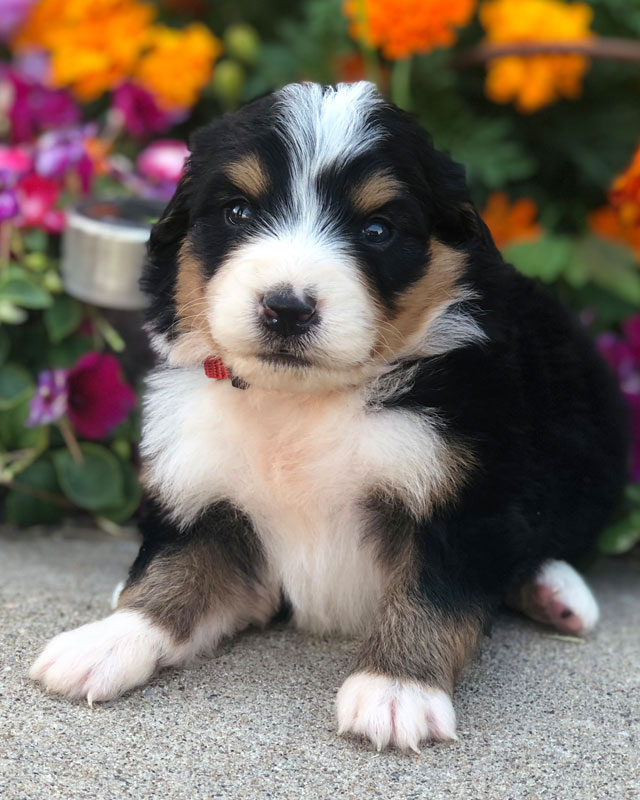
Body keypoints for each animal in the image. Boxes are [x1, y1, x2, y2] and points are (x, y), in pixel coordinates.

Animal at [30, 81, 624, 752]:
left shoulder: (465, 496)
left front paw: (397, 688)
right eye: (238, 213)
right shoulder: (213, 499)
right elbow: (172, 570)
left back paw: (558, 593)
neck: (304, 401)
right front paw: (109, 640)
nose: (287, 308)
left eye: (377, 229)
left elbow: (433, 590)